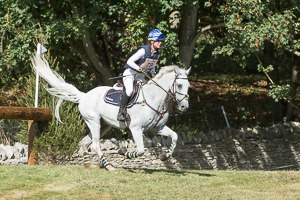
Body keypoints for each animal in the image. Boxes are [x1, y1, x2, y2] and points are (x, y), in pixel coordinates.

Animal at [30, 54, 190, 170]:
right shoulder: (136, 128)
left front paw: (165, 156)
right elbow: (140, 150)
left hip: (104, 125)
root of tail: (84, 95)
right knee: (95, 145)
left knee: (85, 142)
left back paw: (88, 164)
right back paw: (108, 165)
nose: (184, 107)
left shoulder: (157, 127)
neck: (154, 98)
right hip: (93, 121)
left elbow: (175, 136)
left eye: (188, 85)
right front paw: (124, 152)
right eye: (179, 85)